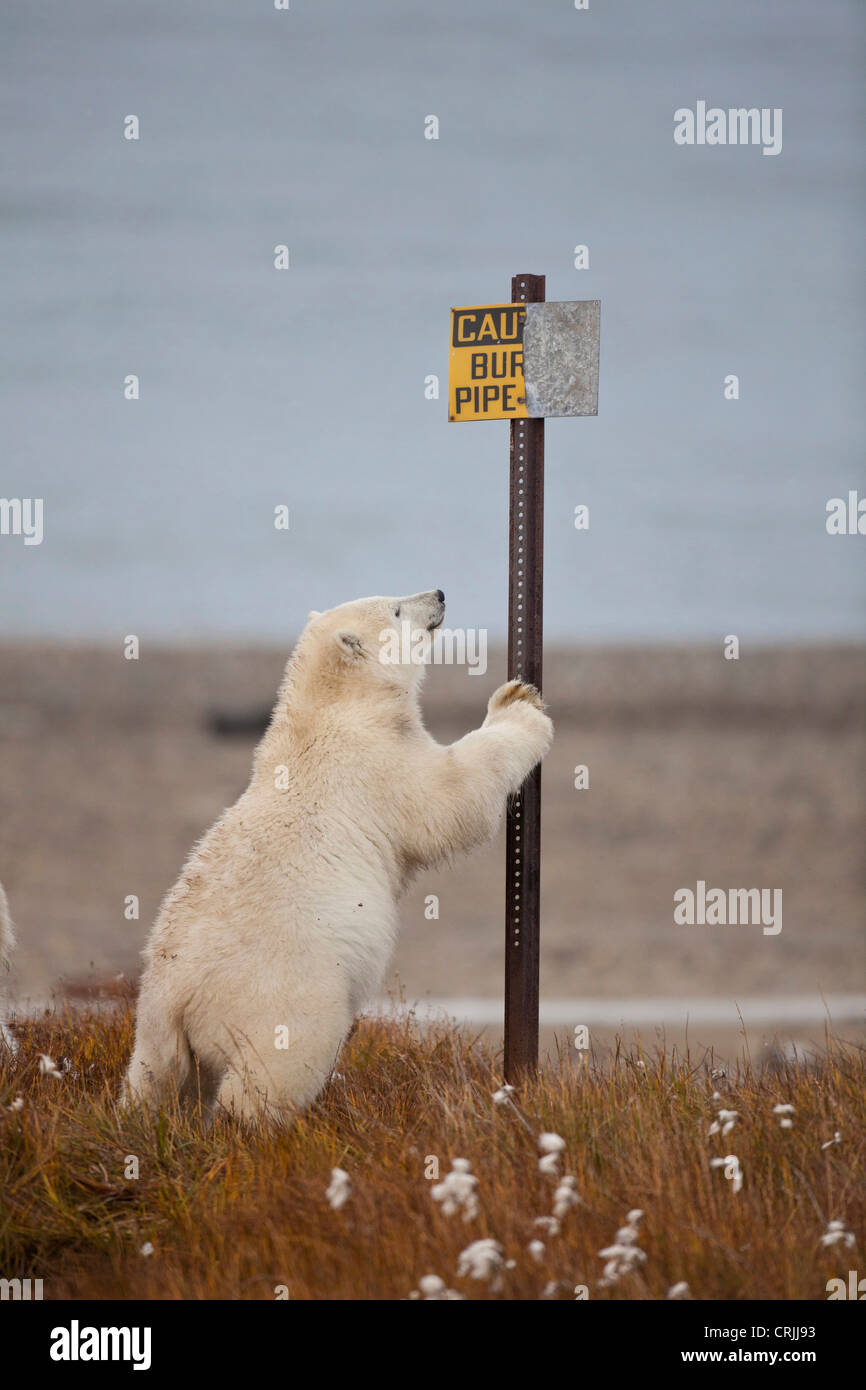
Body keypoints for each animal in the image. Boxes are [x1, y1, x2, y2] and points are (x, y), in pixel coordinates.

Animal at [123, 592, 553, 1123]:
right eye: (395, 609)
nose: (438, 594)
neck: (331, 709)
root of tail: (177, 1000)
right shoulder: (375, 765)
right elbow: (450, 799)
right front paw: (520, 703)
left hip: (153, 1030)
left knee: (154, 1080)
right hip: (284, 998)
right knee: (273, 1072)